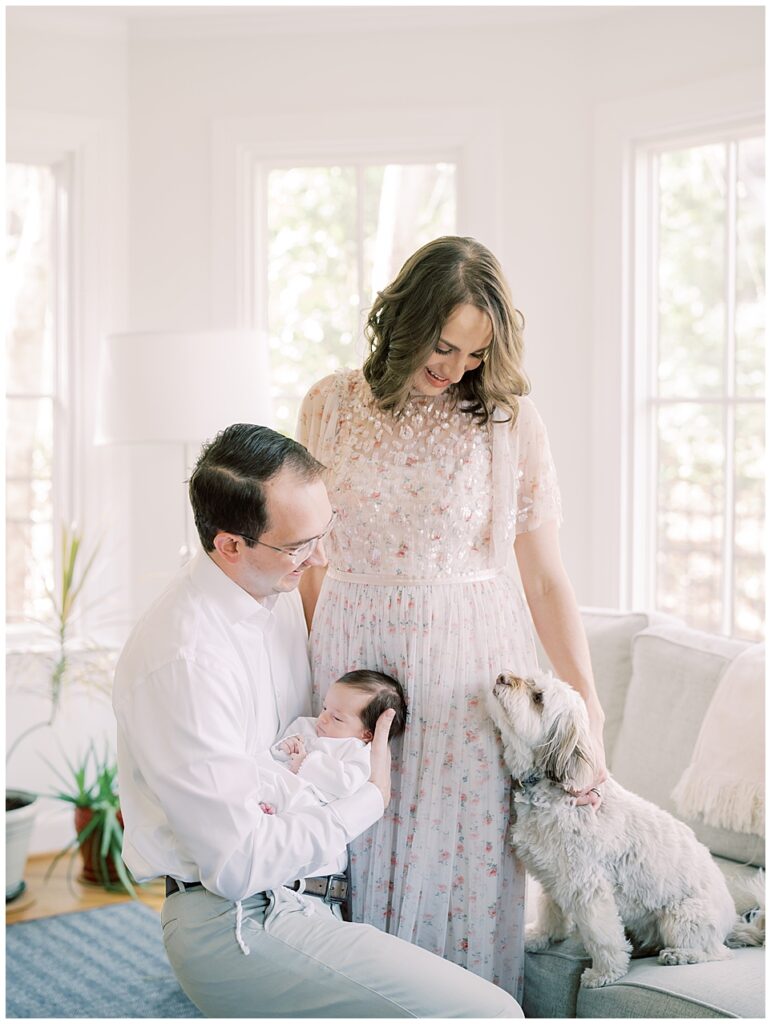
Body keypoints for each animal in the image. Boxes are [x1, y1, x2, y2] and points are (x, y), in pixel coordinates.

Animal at [489, 667, 761, 987]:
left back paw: (680, 955)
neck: (554, 788)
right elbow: (550, 912)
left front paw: (605, 973)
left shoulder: (588, 887)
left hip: (682, 916)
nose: (502, 677)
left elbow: (602, 937)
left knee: (716, 953)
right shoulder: (554, 877)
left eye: (538, 698)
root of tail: (733, 924)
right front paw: (540, 936)